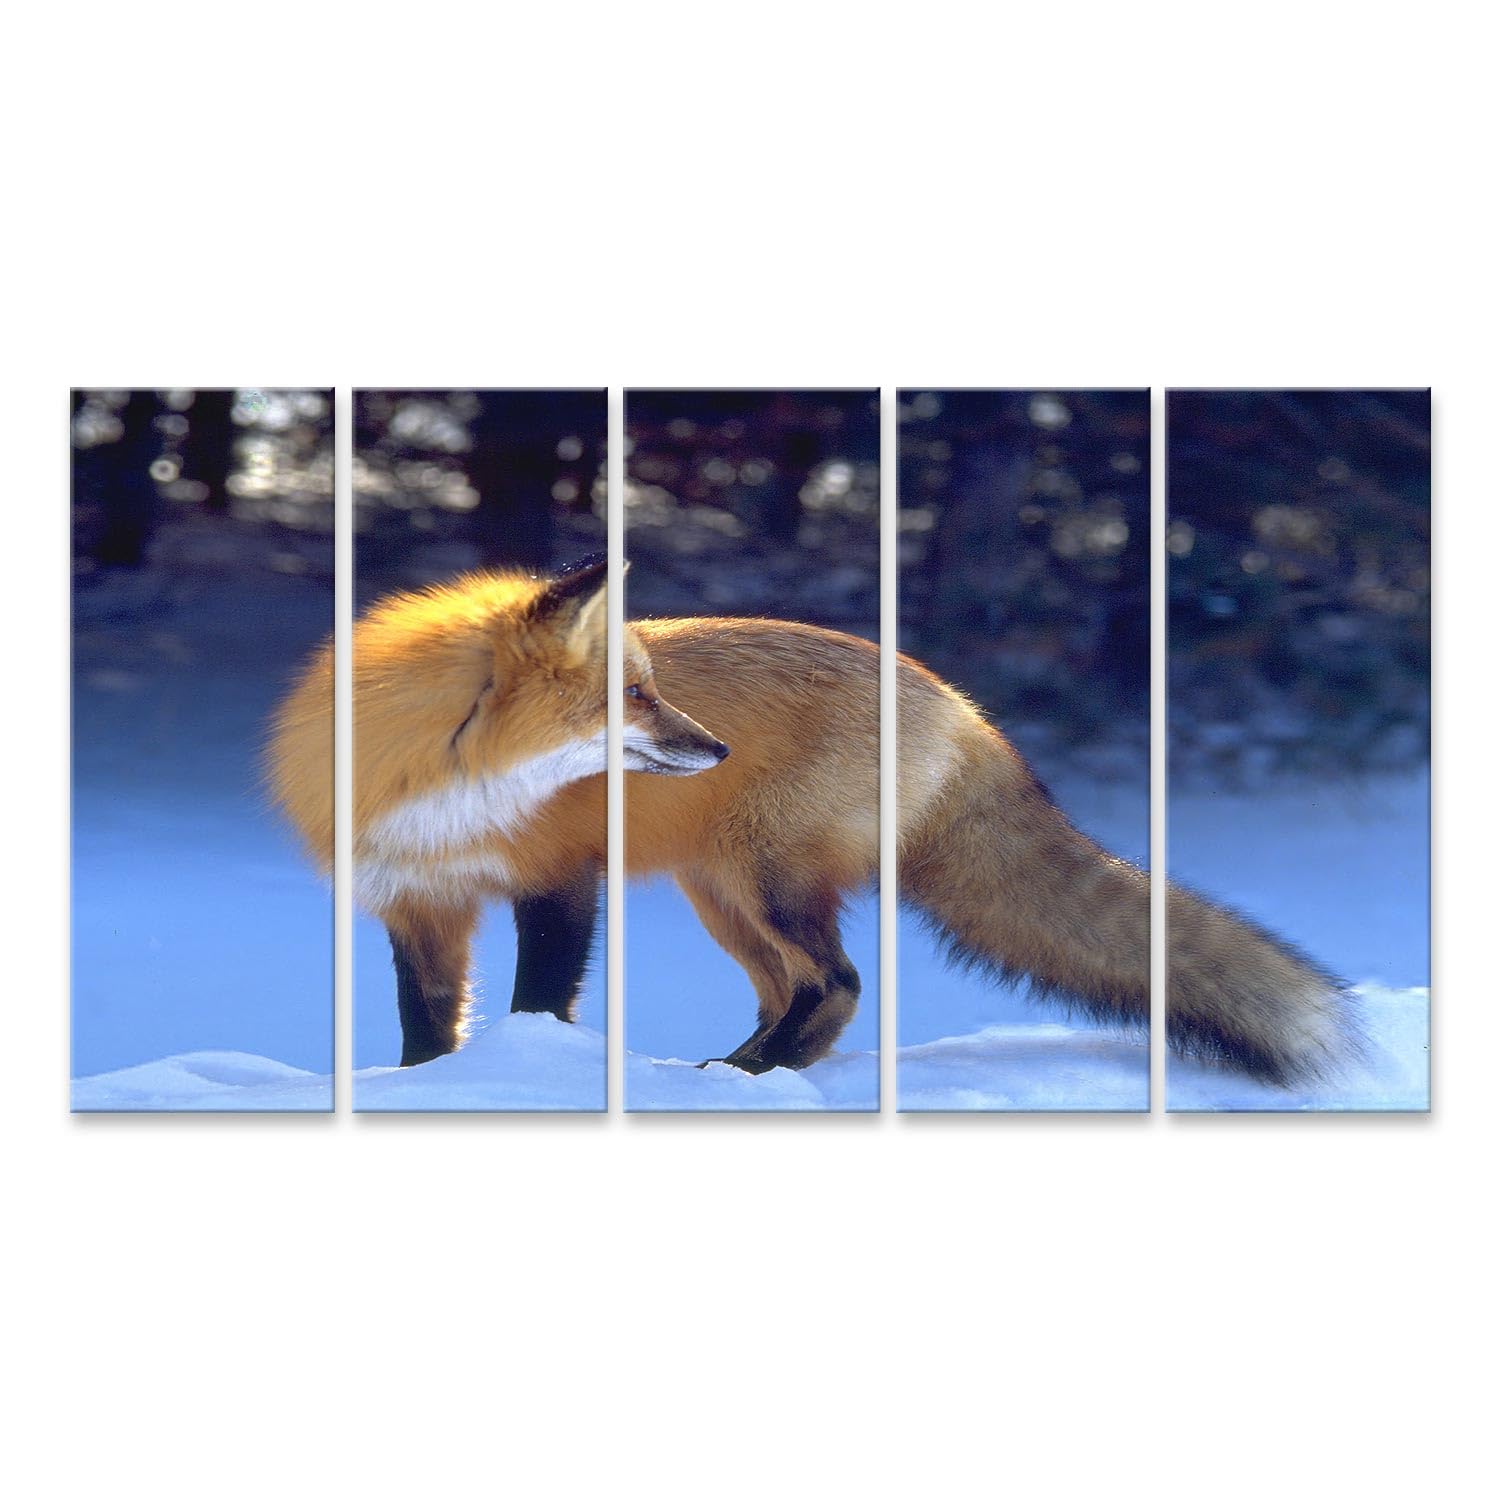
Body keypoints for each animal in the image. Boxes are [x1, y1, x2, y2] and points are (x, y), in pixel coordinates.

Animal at [268, 554, 1354, 1083]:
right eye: (633, 696)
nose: (716, 749)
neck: (450, 794)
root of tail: (961, 704)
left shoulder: (561, 883)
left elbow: (537, 1004)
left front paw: (528, 1073)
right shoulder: (415, 901)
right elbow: (424, 1024)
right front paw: (423, 1087)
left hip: (767, 882)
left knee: (839, 983)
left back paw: (757, 1076)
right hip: (723, 895)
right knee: (793, 990)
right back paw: (741, 1068)